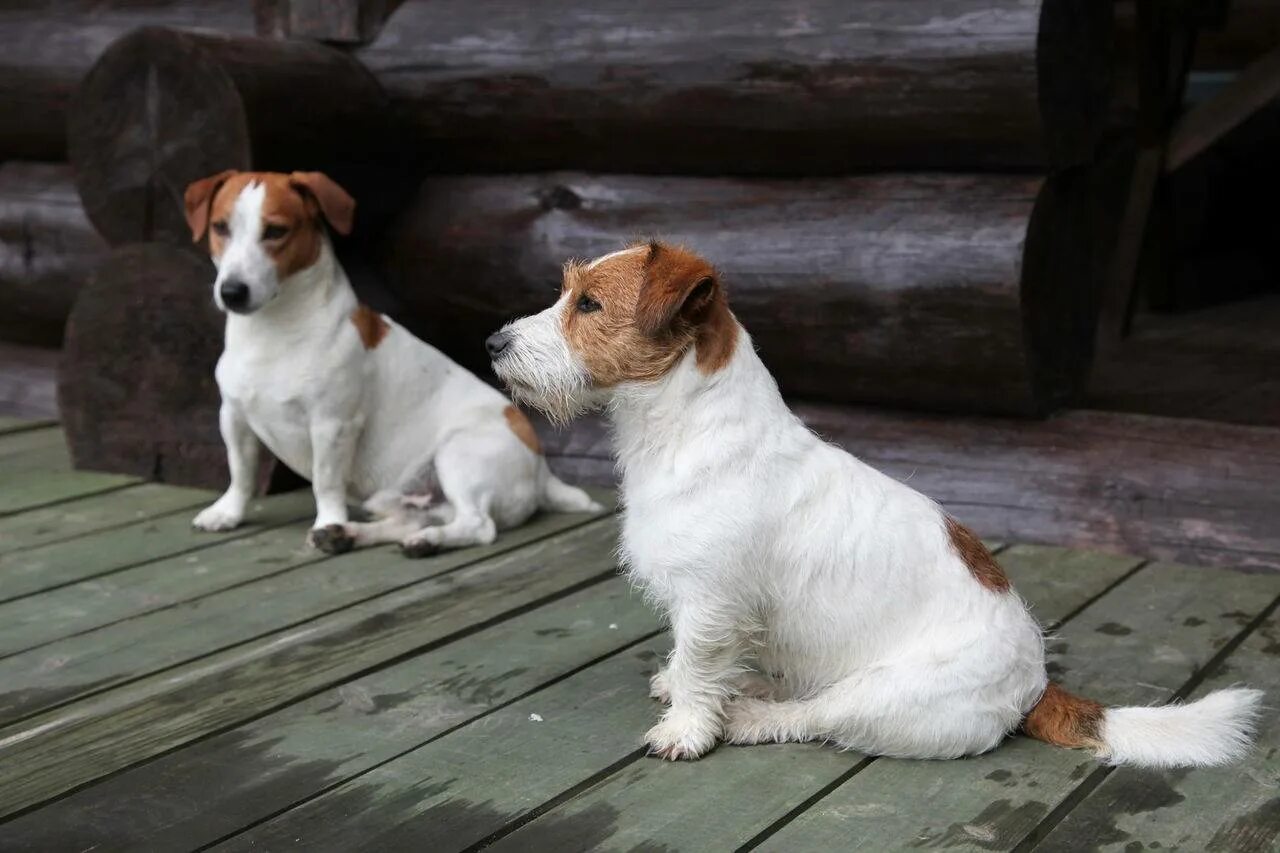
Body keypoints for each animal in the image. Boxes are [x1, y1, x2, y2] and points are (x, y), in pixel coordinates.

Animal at [486, 239, 1259, 763]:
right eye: (567, 293)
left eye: (589, 304)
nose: (492, 341)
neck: (688, 428)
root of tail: (1036, 685)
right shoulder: (698, 601)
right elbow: (688, 657)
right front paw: (674, 682)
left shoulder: (711, 603)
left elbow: (703, 665)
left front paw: (687, 725)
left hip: (878, 695)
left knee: (815, 717)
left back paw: (752, 715)